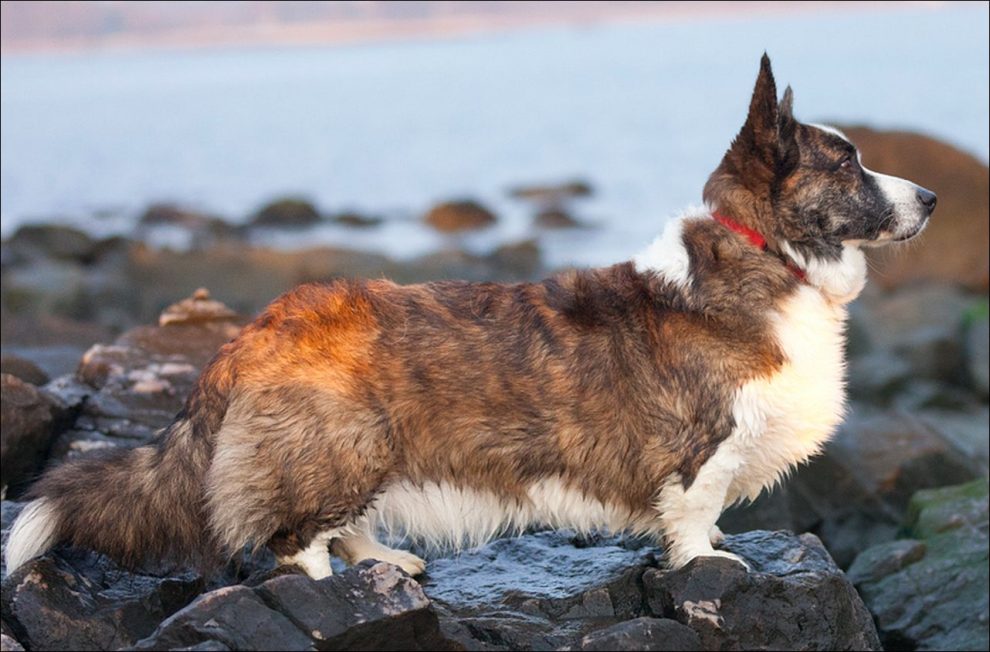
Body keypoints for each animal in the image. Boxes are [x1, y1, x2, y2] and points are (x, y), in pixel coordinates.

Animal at [3, 54, 932, 576]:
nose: (928, 196)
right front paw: (709, 565)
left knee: (347, 527)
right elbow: (697, 521)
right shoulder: (702, 451)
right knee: (296, 539)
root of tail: (254, 331)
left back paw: (387, 563)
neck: (764, 255)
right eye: (846, 162)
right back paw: (330, 590)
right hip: (344, 448)